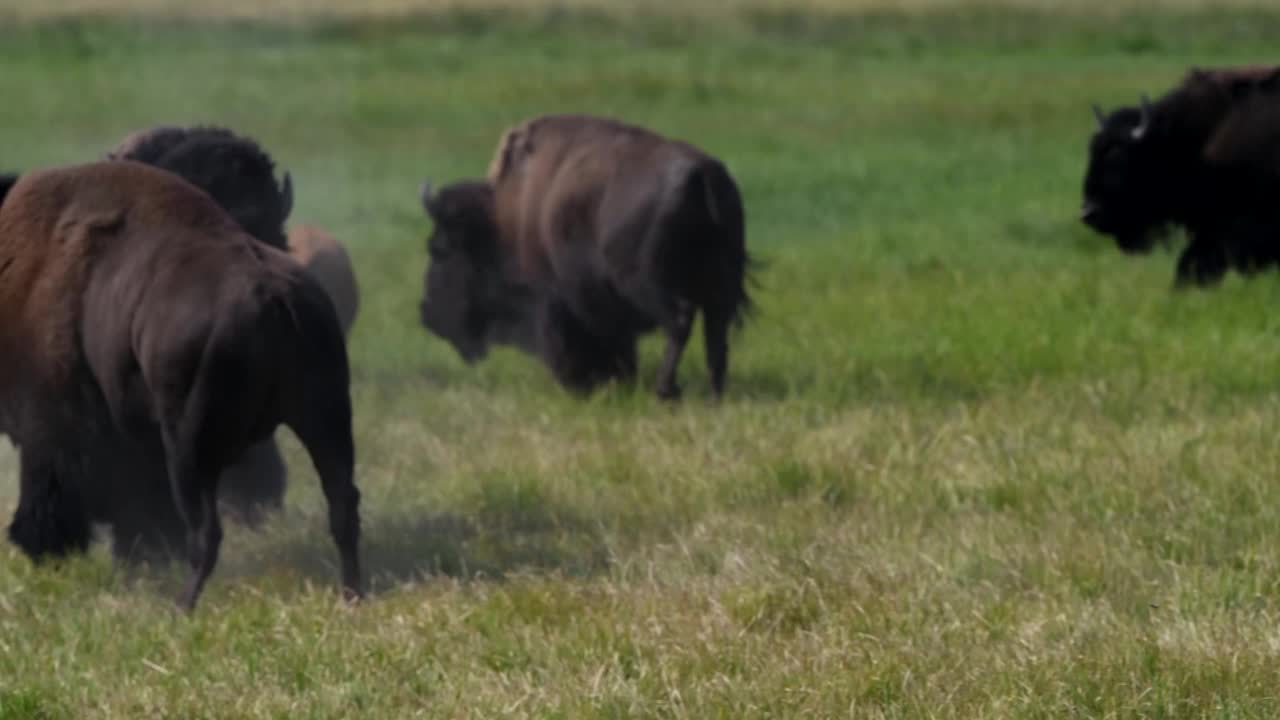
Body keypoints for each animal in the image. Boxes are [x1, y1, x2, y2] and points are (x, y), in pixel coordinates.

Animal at [0, 161, 363, 604]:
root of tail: (273, 294)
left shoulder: (52, 426)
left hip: (189, 450)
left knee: (206, 531)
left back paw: (180, 604)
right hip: (326, 420)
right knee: (342, 504)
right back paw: (353, 593)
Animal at [414, 114, 752, 399]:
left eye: (439, 249)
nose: (427, 313)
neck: (501, 221)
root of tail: (701, 174)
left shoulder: (555, 301)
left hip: (647, 285)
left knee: (681, 321)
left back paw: (665, 390)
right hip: (719, 287)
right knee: (715, 333)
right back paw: (714, 394)